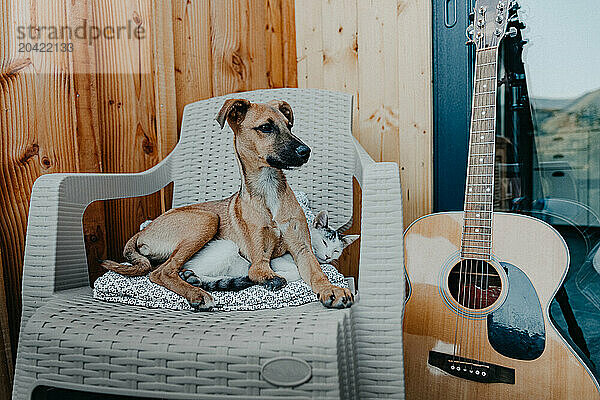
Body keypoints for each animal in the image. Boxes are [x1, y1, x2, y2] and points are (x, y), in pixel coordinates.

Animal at [101, 98, 354, 310]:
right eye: (266, 127)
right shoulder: (260, 261)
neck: (269, 190)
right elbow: (262, 272)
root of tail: (144, 231)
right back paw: (198, 294)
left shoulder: (302, 249)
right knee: (161, 272)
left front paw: (331, 290)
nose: (306, 151)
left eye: (289, 126)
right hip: (206, 219)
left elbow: (318, 273)